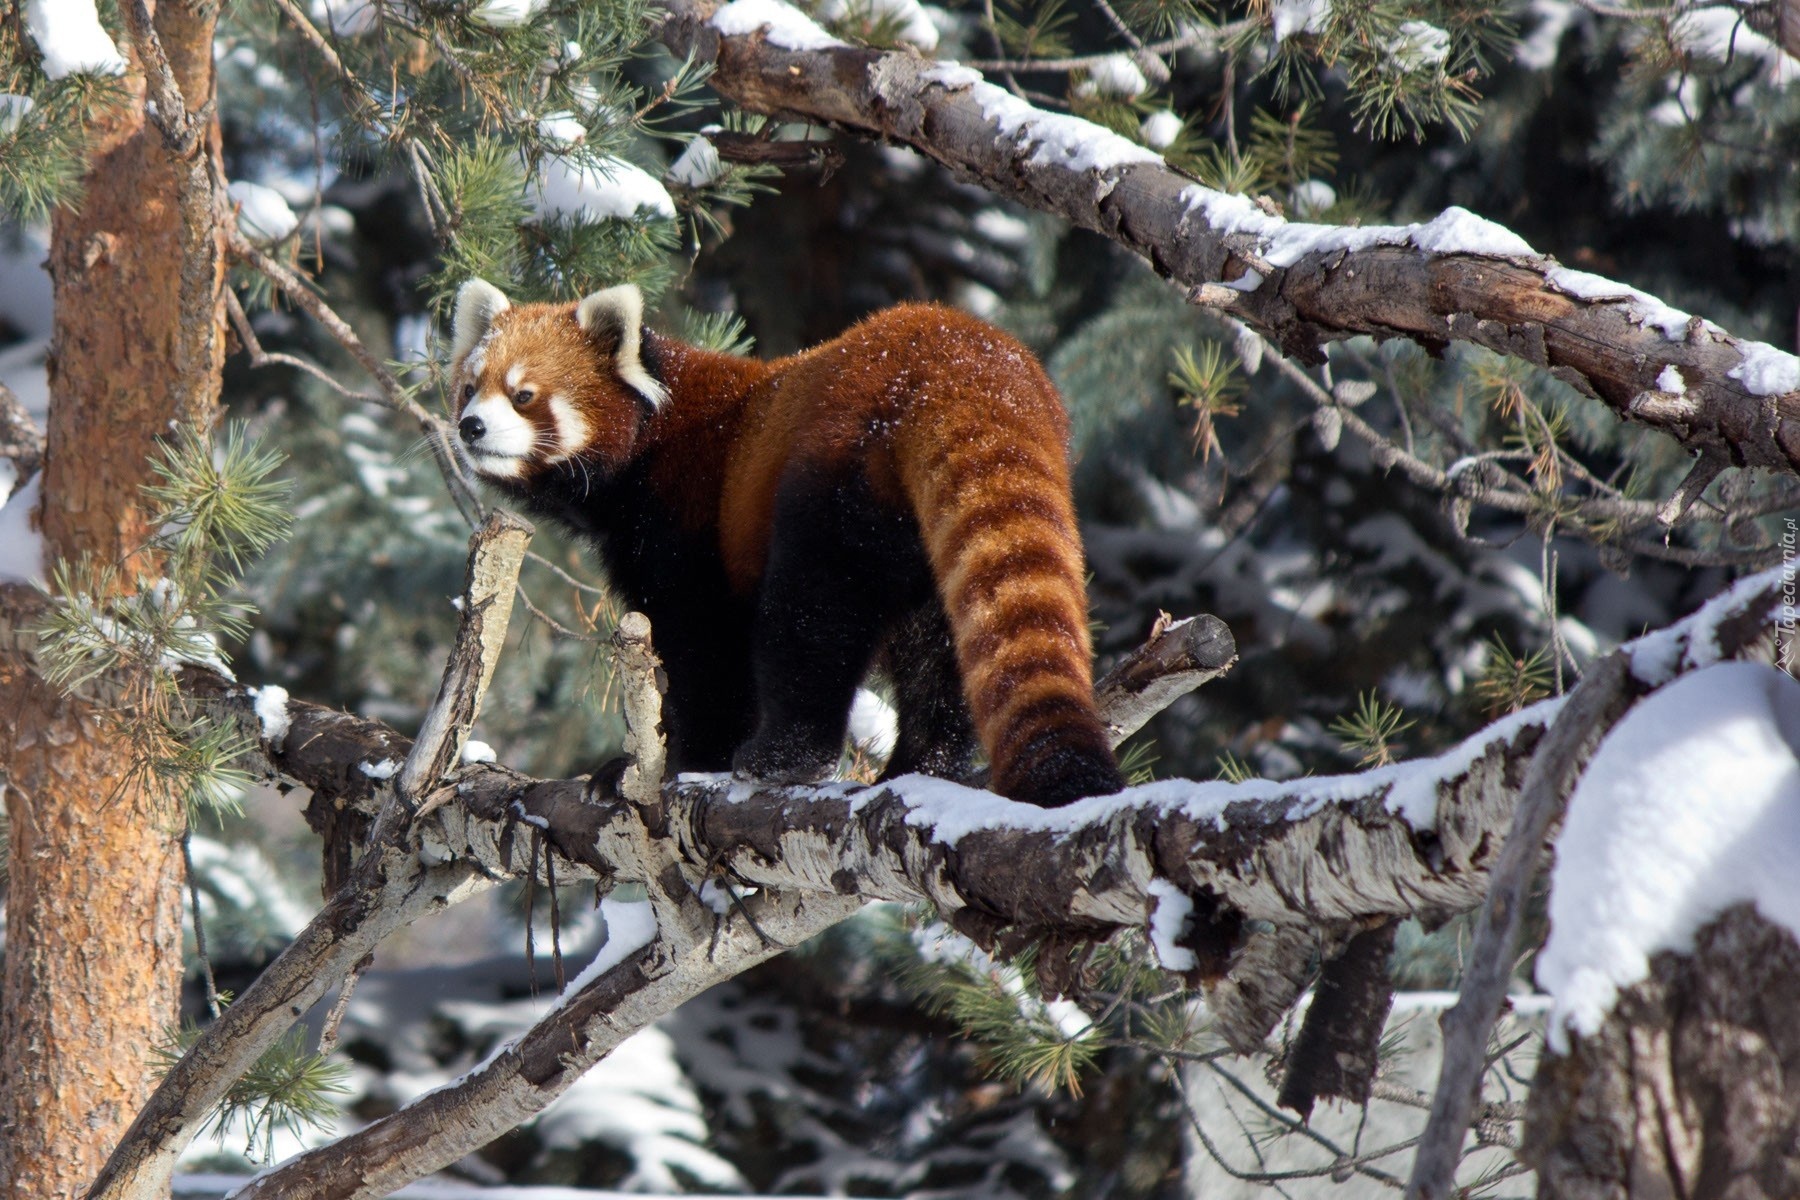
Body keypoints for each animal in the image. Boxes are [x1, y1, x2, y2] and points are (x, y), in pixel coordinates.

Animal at [450, 280, 1123, 805]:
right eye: (469, 387)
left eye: (524, 395)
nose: (470, 426)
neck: (649, 439)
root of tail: (960, 361)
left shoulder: (688, 523)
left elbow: (706, 653)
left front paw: (679, 764)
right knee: (940, 652)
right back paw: (920, 770)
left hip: (835, 478)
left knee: (811, 619)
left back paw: (783, 757)